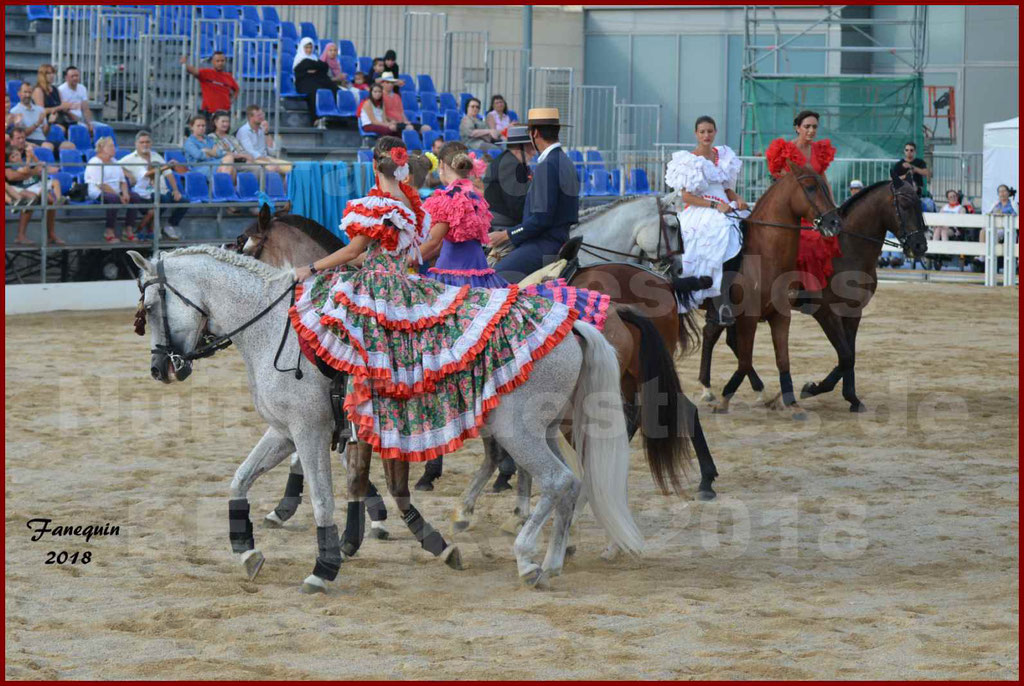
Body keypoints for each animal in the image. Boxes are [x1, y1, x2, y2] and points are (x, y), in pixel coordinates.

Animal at [128, 245, 638, 589]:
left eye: (150, 308)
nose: (159, 369)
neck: (274, 328)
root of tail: (573, 324)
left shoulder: (309, 433)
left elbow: (323, 501)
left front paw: (324, 568)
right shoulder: (284, 432)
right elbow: (239, 480)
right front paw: (246, 551)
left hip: (519, 432)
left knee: (557, 482)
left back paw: (528, 558)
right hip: (546, 431)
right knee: (573, 484)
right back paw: (552, 561)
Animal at [696, 177, 929, 413]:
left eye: (920, 204)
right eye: (905, 205)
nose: (920, 245)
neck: (845, 250)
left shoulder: (853, 313)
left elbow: (850, 355)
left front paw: (852, 398)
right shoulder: (826, 313)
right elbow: (845, 355)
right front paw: (813, 388)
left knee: (725, 339)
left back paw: (756, 391)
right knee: (714, 336)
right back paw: (711, 389)